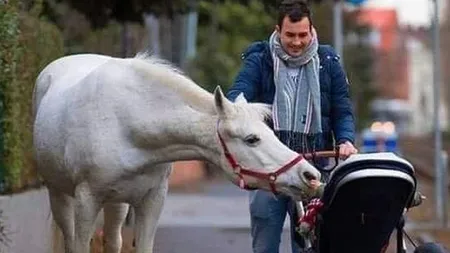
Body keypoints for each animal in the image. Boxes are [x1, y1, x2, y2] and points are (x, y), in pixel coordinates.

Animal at [31, 52, 322, 253]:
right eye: (252, 139)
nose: (310, 175)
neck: (126, 122)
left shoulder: (152, 200)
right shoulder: (86, 200)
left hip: (117, 203)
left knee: (112, 241)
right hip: (60, 195)